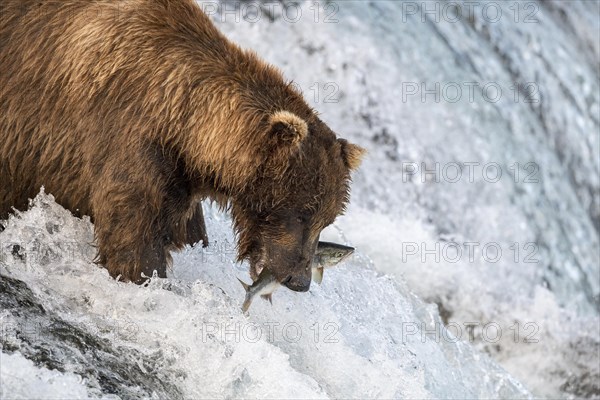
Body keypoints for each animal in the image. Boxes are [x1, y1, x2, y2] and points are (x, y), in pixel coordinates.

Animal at [0, 0, 366, 290]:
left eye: (326, 219)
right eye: (301, 213)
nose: (299, 281)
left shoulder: (179, 181)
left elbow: (188, 235)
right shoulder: (126, 142)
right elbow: (133, 245)